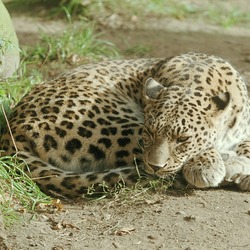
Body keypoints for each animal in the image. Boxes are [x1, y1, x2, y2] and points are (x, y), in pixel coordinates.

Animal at [0, 52, 250, 197]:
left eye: (183, 139)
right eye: (149, 133)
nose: (155, 167)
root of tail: (10, 131)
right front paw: (210, 166)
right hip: (114, 123)